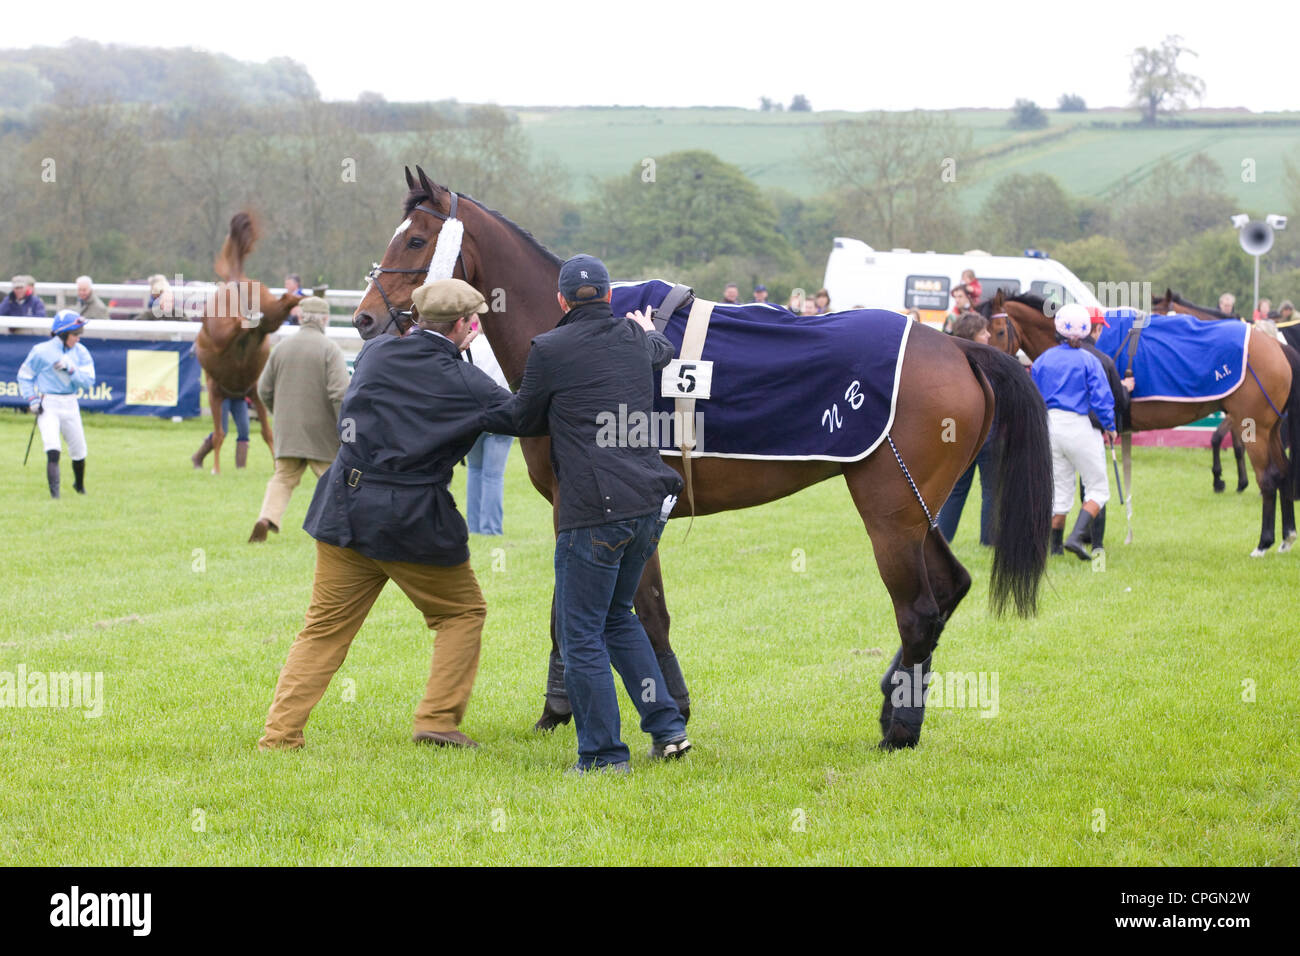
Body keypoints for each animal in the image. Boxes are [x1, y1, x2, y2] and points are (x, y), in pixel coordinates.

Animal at [189, 213, 297, 476]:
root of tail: (235, 280)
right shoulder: (251, 393)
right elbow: (266, 433)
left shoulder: (220, 394)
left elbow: (221, 434)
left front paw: (215, 469)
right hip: (270, 315)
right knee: (281, 304)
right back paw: (306, 296)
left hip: (224, 331)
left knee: (239, 324)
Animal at [351, 167, 1050, 749]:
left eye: (415, 241)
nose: (363, 320)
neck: (579, 327)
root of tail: (959, 348)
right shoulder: (594, 509)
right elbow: (597, 609)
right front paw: (573, 708)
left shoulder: (606, 507)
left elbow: (627, 611)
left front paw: (630, 708)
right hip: (918, 507)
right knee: (951, 588)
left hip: (891, 509)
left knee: (920, 608)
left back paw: (897, 728)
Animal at [982, 293, 1300, 561]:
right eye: (985, 331)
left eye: (999, 331)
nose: (990, 372)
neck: (1080, 343)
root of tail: (1275, 345)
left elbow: (1087, 490)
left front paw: (1086, 538)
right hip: (1271, 429)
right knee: (1283, 472)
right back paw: (1286, 537)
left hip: (1255, 429)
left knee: (1268, 479)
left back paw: (1263, 543)